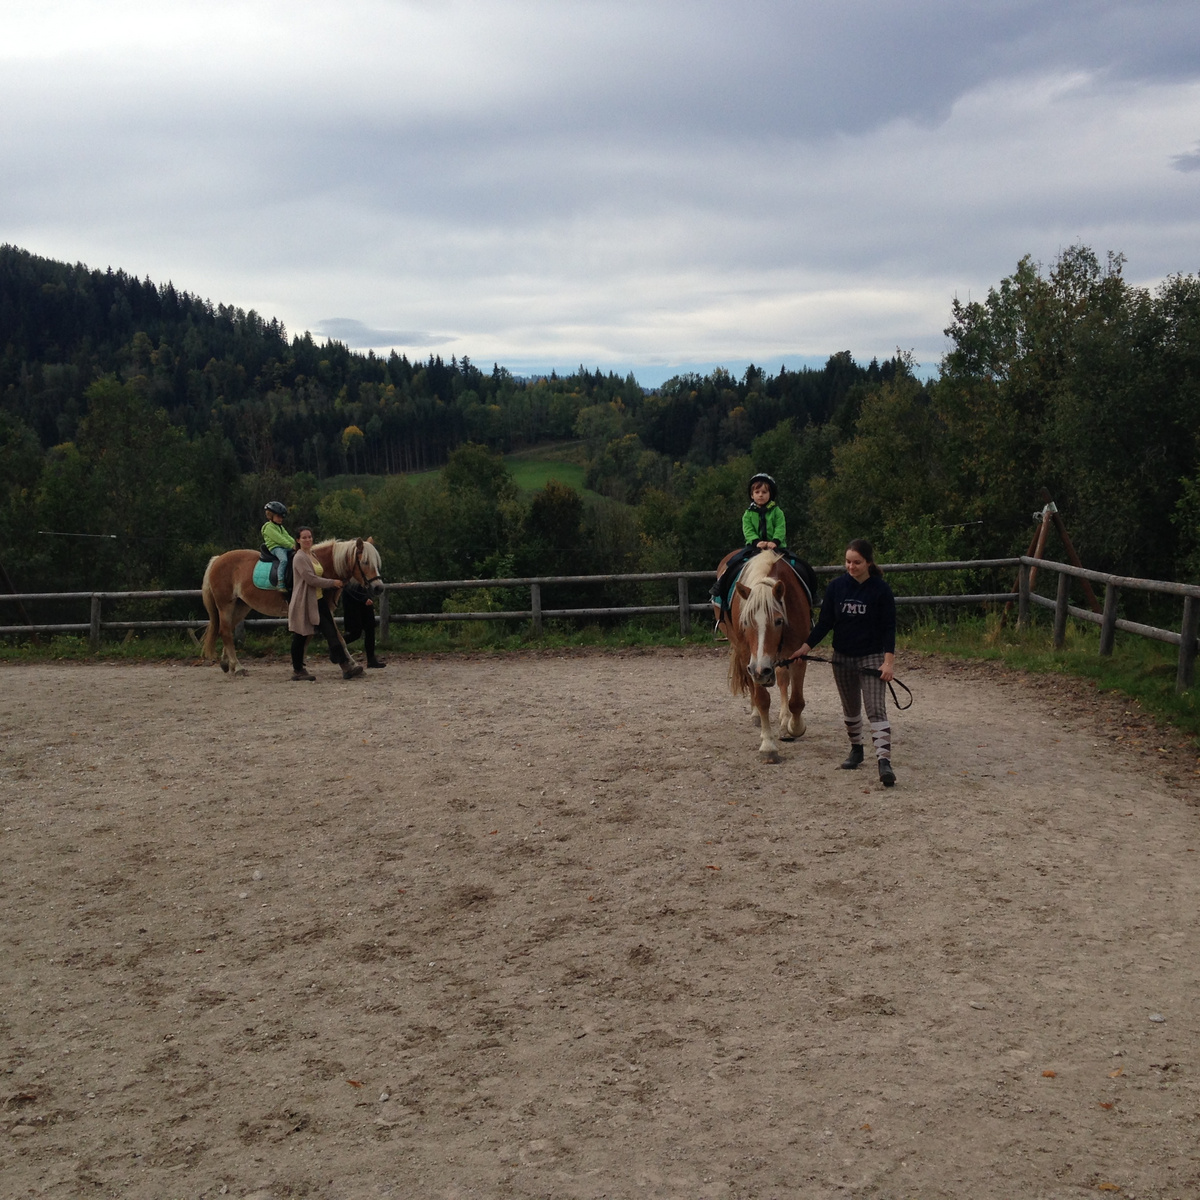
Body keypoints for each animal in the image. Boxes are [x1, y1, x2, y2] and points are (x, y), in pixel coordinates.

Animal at [201, 537, 384, 677]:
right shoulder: (320, 609)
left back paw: (227, 664)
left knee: (227, 630)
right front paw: (351, 664)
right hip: (226, 605)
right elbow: (337, 637)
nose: (379, 588)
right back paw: (238, 667)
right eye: (365, 562)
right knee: (225, 632)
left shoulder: (322, 611)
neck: (321, 567)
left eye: (377, 563)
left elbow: (314, 636)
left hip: (241, 606)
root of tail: (217, 559)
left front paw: (301, 664)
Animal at [716, 548, 812, 763]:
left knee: (783, 680)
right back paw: (756, 716)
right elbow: (762, 699)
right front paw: (768, 746)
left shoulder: (798, 653)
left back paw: (784, 719)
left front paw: (794, 726)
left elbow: (796, 701)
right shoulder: (750, 658)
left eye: (778, 621)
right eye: (745, 621)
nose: (761, 670)